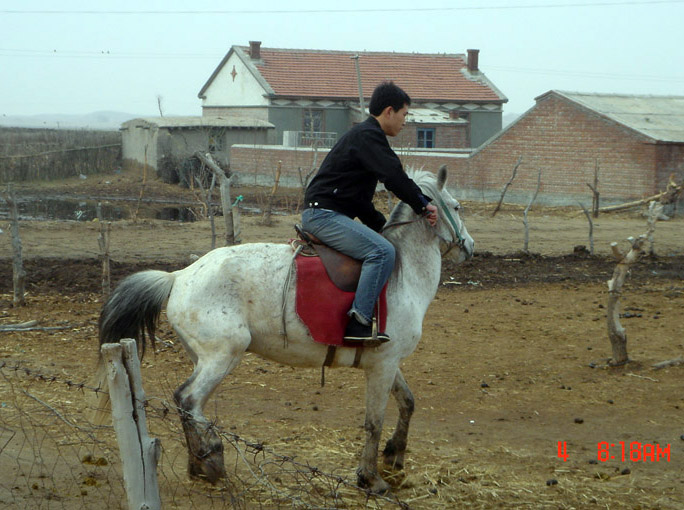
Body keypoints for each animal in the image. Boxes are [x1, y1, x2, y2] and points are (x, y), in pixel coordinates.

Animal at [96, 165, 472, 492]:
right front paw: (370, 477)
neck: (402, 273)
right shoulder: (382, 365)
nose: (469, 246)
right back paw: (211, 457)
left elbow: (407, 402)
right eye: (456, 206)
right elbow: (373, 422)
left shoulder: (387, 363)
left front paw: (395, 455)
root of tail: (179, 276)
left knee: (187, 404)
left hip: (202, 357)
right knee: (188, 399)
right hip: (222, 357)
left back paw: (199, 464)